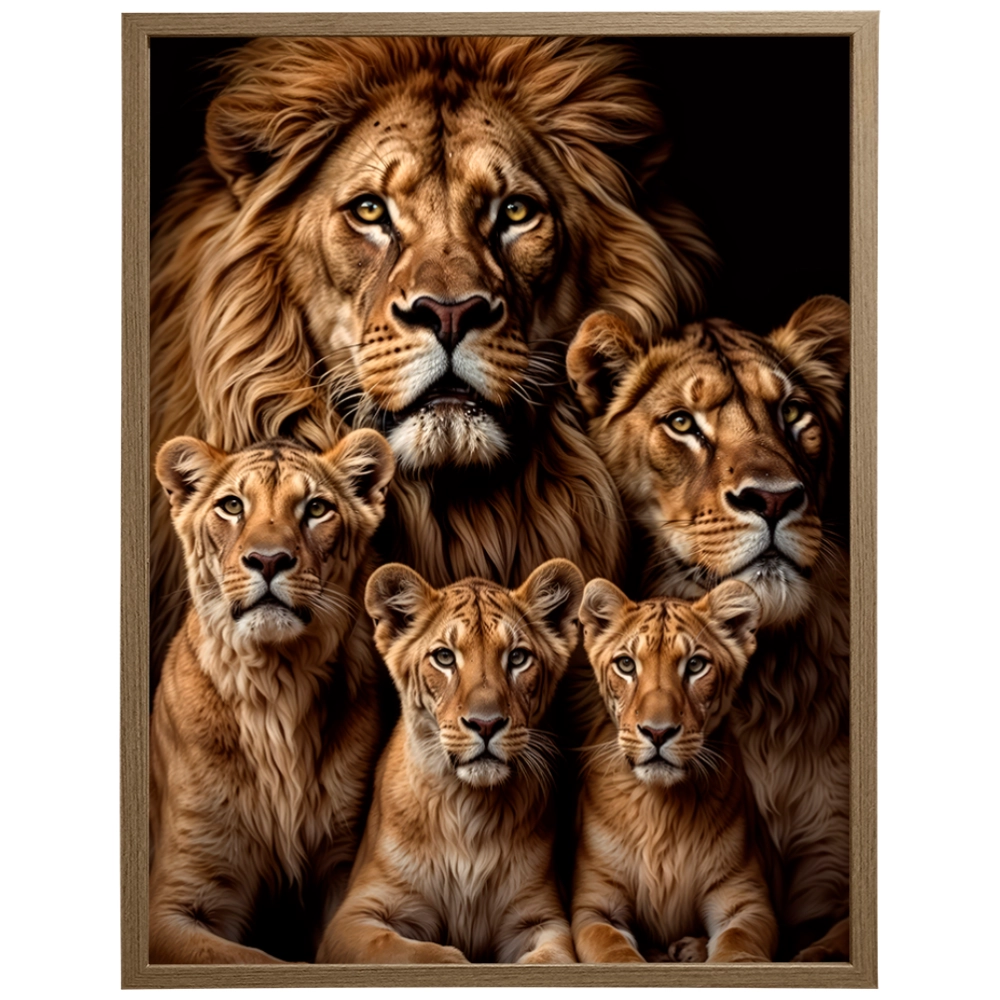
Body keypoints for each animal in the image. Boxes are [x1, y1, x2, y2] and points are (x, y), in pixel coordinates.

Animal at [149, 430, 394, 964]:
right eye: (232, 506)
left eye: (317, 508)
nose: (268, 560)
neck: (276, 685)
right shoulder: (176, 902)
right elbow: (247, 957)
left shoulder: (341, 864)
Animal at [316, 559, 584, 964]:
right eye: (444, 657)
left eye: (517, 658)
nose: (486, 724)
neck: (469, 806)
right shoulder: (353, 917)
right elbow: (415, 953)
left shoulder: (540, 917)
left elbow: (550, 960)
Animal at [574, 578, 778, 964]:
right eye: (626, 665)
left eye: (696, 665)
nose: (657, 732)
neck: (662, 809)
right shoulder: (595, 905)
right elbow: (612, 950)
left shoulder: (745, 900)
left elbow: (738, 945)